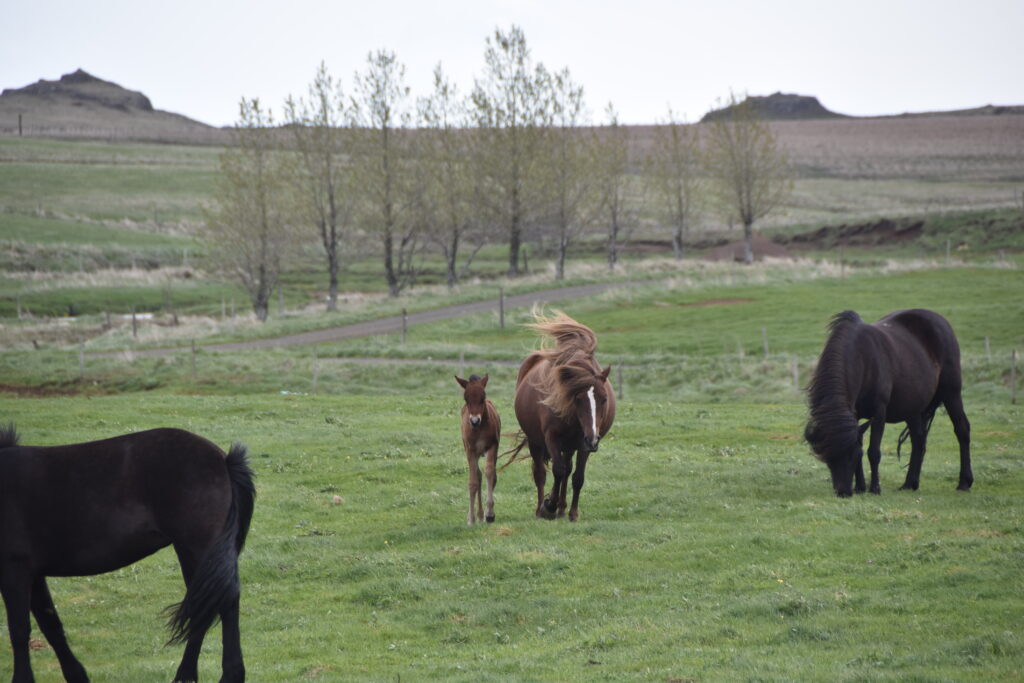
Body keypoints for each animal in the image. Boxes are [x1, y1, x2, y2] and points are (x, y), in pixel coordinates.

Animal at [0, 423, 254, 679]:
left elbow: (19, 630)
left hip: (198, 551)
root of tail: (223, 459)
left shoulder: (14, 569)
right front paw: (77, 675)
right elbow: (50, 624)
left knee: (219, 604)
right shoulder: (34, 573)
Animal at [458, 374, 501, 524]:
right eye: (466, 398)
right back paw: (479, 514)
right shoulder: (470, 450)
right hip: (474, 453)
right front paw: (471, 518)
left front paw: (490, 514)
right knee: (478, 475)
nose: (474, 421)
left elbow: (490, 472)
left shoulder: (492, 445)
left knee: (488, 475)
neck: (479, 429)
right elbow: (473, 482)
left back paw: (483, 514)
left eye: (483, 397)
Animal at [509, 313, 614, 520]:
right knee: (541, 474)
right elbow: (557, 471)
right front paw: (548, 506)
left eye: (604, 399)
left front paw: (573, 513)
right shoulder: (551, 437)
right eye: (578, 399)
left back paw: (562, 509)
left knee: (567, 469)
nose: (592, 439)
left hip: (570, 445)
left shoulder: (583, 444)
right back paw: (542, 509)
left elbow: (577, 477)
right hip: (536, 441)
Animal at [802, 309, 970, 497]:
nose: (843, 492)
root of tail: (940, 320)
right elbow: (860, 442)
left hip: (951, 393)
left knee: (962, 429)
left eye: (851, 455)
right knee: (918, 440)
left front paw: (875, 488)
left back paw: (964, 482)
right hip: (913, 409)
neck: (862, 358)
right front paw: (860, 487)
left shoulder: (879, 412)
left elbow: (873, 451)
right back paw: (910, 483)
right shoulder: (855, 415)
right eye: (828, 459)